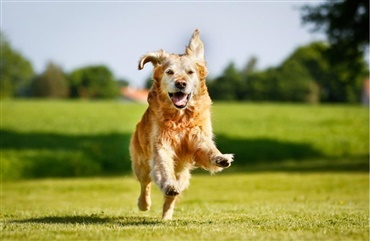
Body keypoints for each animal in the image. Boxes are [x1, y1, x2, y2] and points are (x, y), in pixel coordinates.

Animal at [131, 28, 234, 220]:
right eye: (169, 72)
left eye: (190, 72)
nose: (181, 83)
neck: (180, 117)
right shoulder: (161, 144)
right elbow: (164, 166)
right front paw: (168, 185)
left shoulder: (198, 137)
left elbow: (209, 149)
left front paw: (221, 158)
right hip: (141, 164)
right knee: (145, 184)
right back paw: (144, 204)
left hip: (183, 175)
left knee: (170, 198)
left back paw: (166, 217)